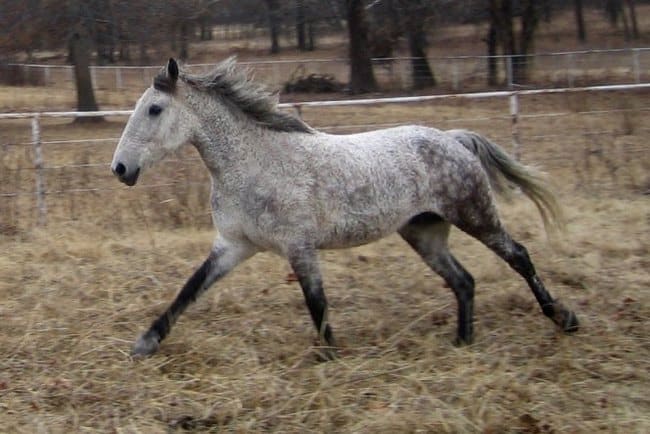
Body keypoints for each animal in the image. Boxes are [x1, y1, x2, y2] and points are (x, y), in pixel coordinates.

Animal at [111, 57, 576, 360]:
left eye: (154, 109)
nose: (120, 168)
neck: (256, 162)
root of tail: (453, 138)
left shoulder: (299, 247)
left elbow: (317, 302)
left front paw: (330, 357)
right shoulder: (233, 245)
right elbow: (190, 289)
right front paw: (145, 344)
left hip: (474, 214)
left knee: (518, 256)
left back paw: (564, 319)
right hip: (424, 232)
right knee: (463, 281)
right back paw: (463, 342)